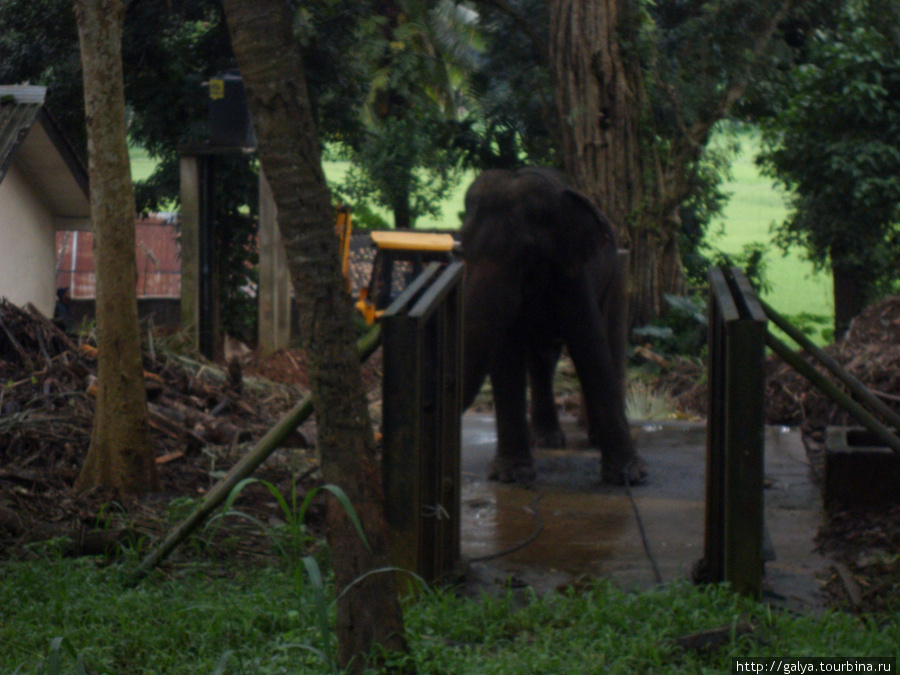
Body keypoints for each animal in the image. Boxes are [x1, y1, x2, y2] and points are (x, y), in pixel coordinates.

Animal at [460, 168, 652, 486]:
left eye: (527, 254)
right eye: (461, 250)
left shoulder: (573, 273)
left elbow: (591, 346)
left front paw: (629, 476)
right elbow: (506, 352)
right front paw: (511, 476)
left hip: (617, 273)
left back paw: (591, 438)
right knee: (542, 357)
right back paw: (547, 440)